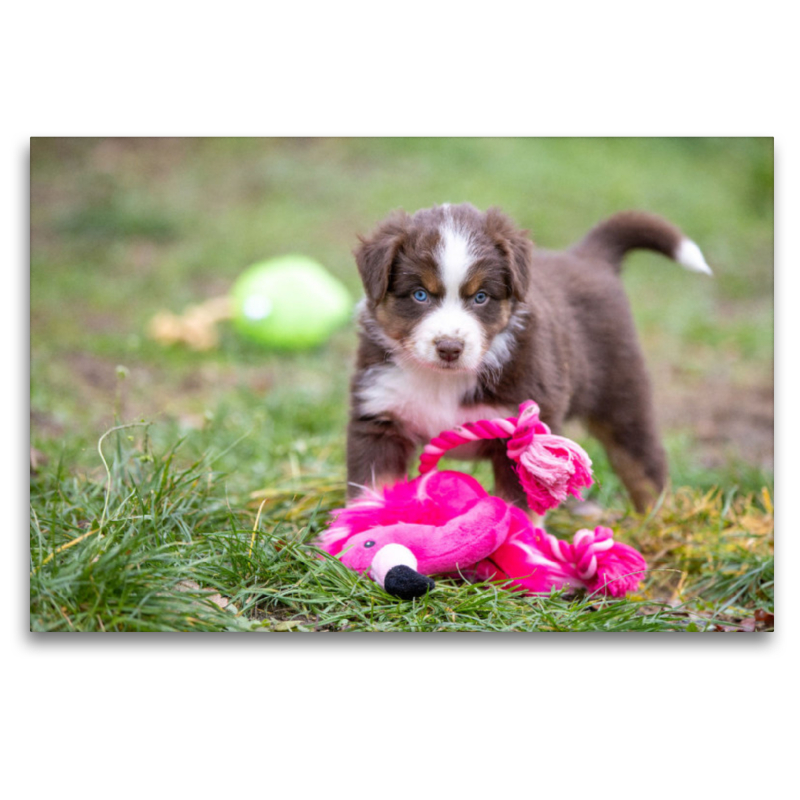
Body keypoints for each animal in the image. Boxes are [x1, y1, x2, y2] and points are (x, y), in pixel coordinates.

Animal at [346, 203, 708, 516]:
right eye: (419, 294)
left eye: (481, 297)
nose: (449, 348)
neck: (442, 380)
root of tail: (588, 256)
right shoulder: (379, 418)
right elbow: (372, 491)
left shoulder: (523, 435)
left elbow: (520, 507)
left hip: (622, 394)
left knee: (643, 464)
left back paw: (658, 520)